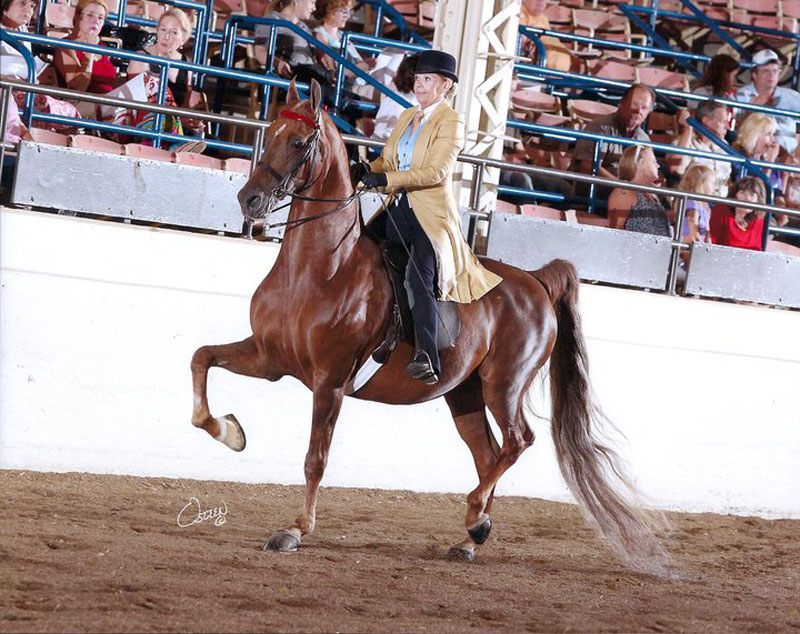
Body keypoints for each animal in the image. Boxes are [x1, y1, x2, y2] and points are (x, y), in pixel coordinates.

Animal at [190, 79, 668, 572]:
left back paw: (475, 516)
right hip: (465, 394)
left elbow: (314, 459)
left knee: (518, 442)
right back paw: (472, 537)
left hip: (504, 385)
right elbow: (201, 358)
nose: (249, 200)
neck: (319, 269)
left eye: (301, 143)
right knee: (489, 454)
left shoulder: (330, 382)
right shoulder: (270, 358)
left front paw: (294, 530)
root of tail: (535, 281)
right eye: (269, 131)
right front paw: (228, 431)